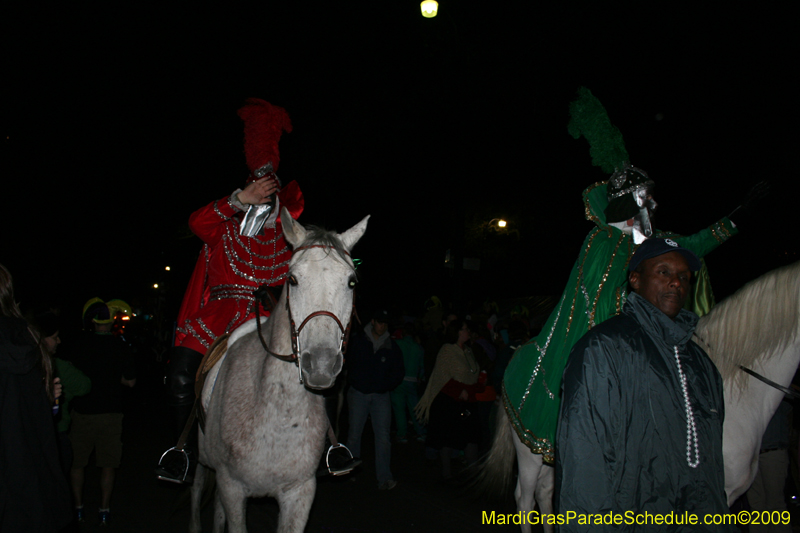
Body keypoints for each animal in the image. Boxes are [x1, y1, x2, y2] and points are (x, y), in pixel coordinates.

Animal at [191, 209, 368, 532]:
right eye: (293, 279)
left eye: (351, 282)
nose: (321, 364)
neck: (279, 414)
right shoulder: (231, 486)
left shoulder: (300, 493)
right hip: (204, 465)